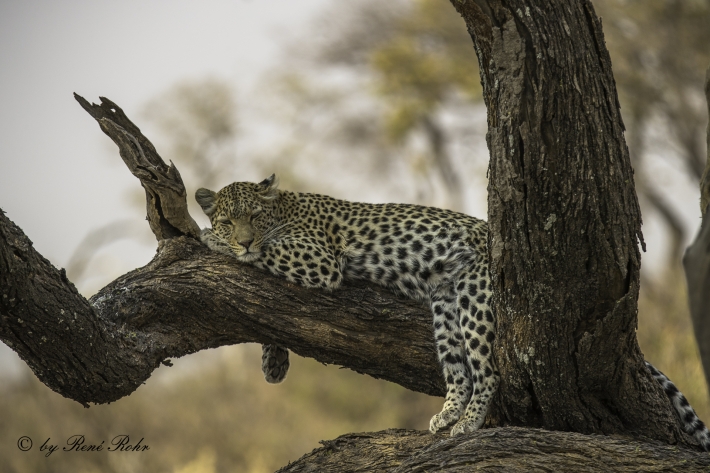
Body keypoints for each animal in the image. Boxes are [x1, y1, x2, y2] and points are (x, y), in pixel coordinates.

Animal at [196, 175, 710, 448]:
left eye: (252, 218)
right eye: (229, 217)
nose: (241, 238)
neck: (282, 208)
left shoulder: (319, 260)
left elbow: (267, 255)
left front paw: (211, 241)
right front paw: (273, 363)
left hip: (477, 300)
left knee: (488, 372)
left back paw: (467, 425)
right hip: (446, 303)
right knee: (458, 371)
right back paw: (446, 417)